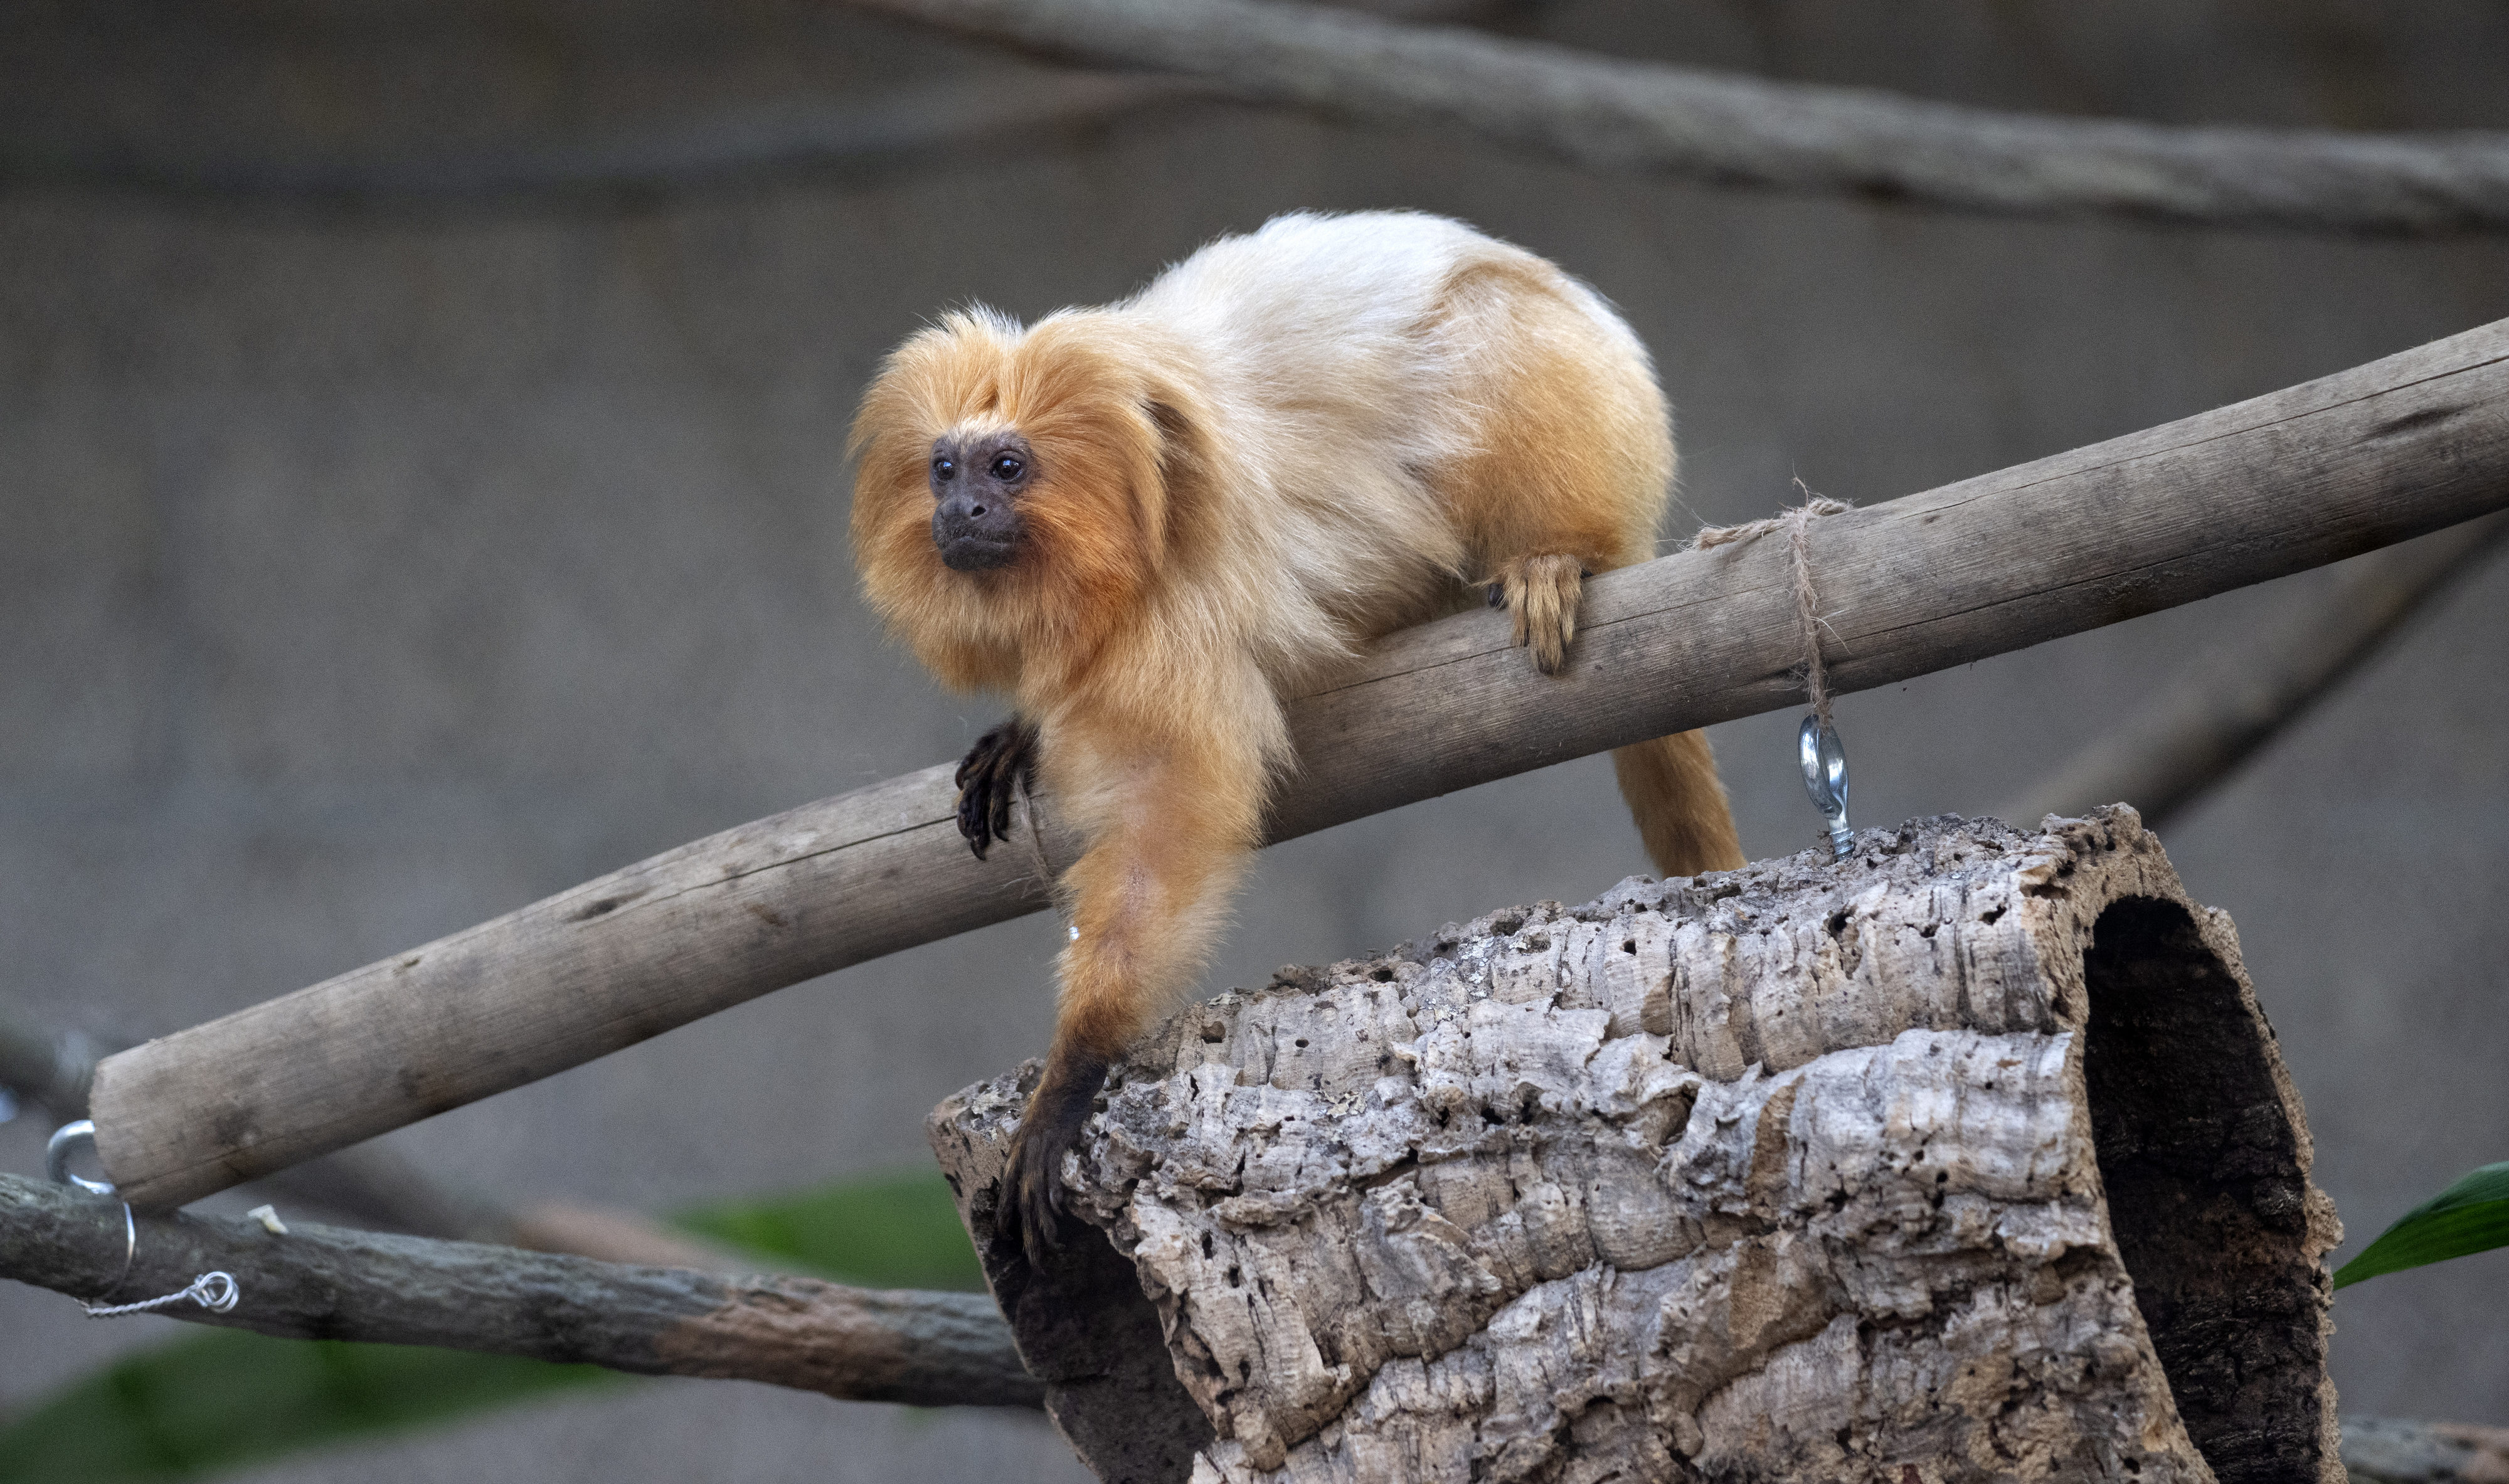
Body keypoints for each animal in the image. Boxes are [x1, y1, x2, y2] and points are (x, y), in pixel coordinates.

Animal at [849, 211, 1744, 1261]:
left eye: (1008, 467)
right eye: (944, 467)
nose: (960, 511)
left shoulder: (1181, 605)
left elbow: (1176, 809)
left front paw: (1075, 1066)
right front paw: (1021, 733)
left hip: (1589, 410)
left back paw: (1556, 555)